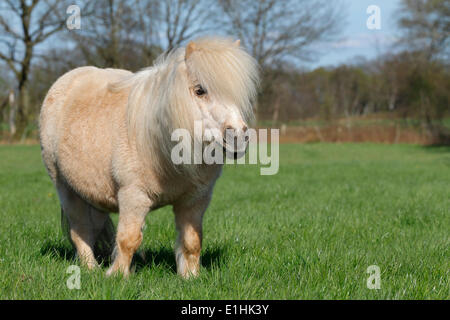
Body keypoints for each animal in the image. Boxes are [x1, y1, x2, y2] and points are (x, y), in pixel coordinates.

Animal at [39, 37, 260, 278]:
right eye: (200, 90)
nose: (238, 137)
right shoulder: (133, 196)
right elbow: (128, 239)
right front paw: (117, 276)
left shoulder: (195, 200)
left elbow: (192, 242)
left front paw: (190, 277)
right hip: (66, 190)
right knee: (80, 231)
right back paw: (91, 269)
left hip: (94, 197)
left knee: (92, 228)